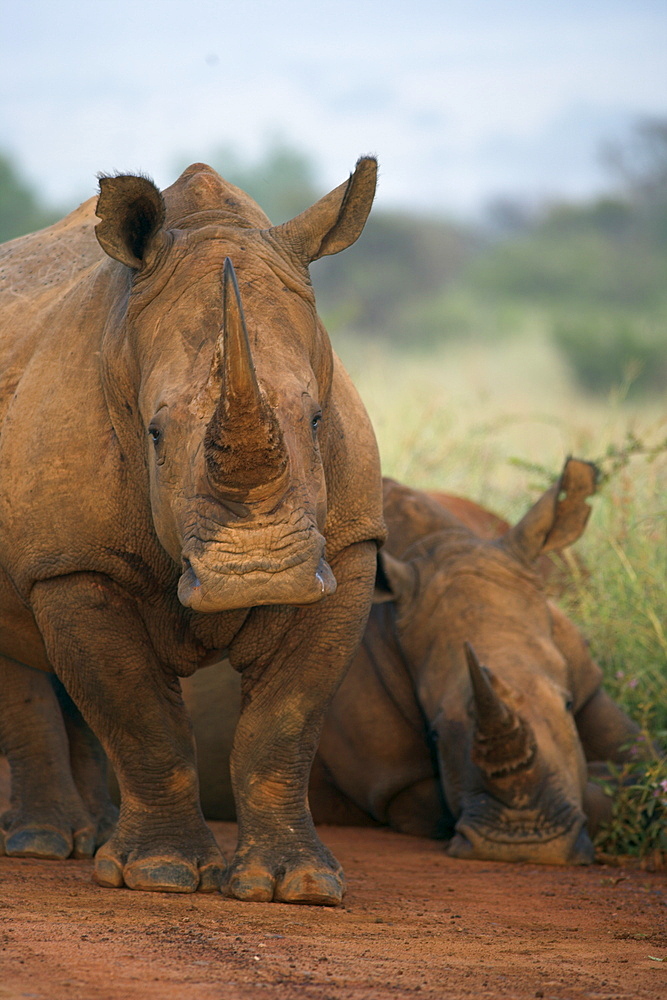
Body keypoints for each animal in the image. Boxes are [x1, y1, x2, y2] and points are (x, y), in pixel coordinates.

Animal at [0, 158, 384, 908]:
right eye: (154, 434)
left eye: (317, 419)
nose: (259, 575)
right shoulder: (76, 563)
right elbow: (140, 717)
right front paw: (162, 874)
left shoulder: (350, 548)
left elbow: (284, 724)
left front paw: (299, 885)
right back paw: (43, 846)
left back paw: (92, 838)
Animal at [187, 458, 640, 860]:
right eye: (436, 732)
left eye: (567, 703)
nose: (527, 845)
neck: (442, 545)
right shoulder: (396, 782)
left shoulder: (588, 680)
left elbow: (637, 759)